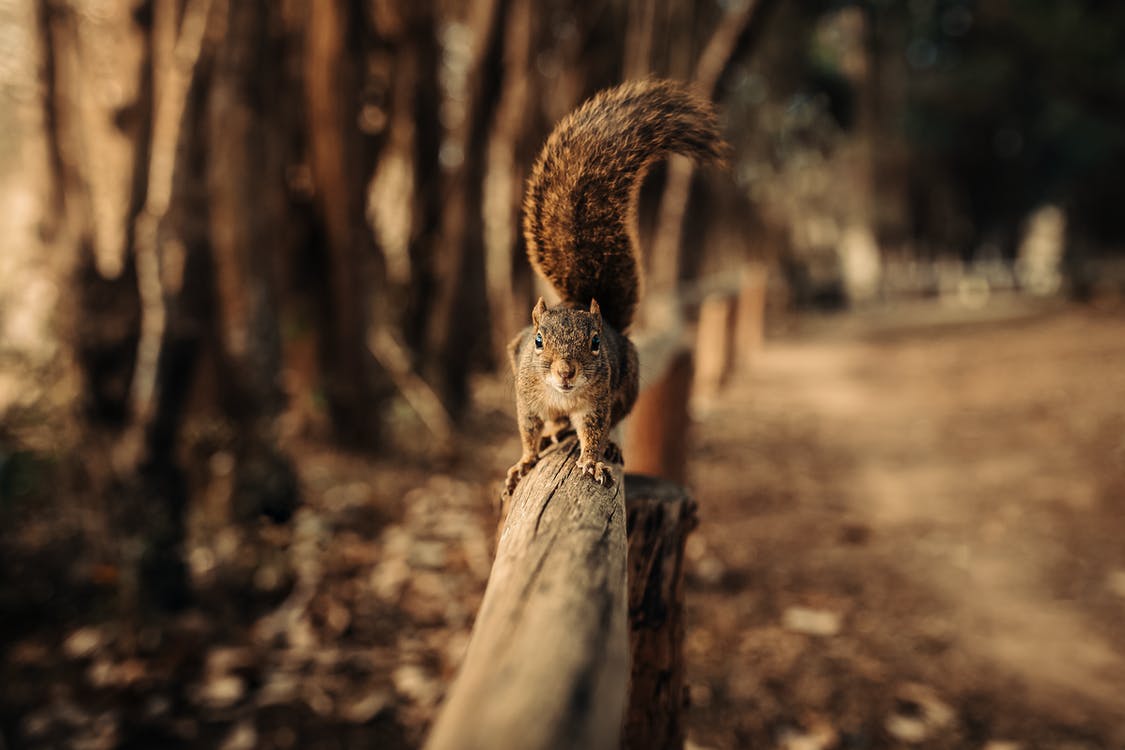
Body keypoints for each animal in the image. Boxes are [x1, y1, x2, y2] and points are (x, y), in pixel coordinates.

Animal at [504, 79, 729, 494]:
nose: (566, 372)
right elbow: (527, 432)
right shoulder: (527, 399)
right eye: (538, 341)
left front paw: (593, 460)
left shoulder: (597, 403)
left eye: (595, 343)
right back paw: (553, 433)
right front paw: (524, 461)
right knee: (552, 425)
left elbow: (593, 431)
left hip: (628, 383)